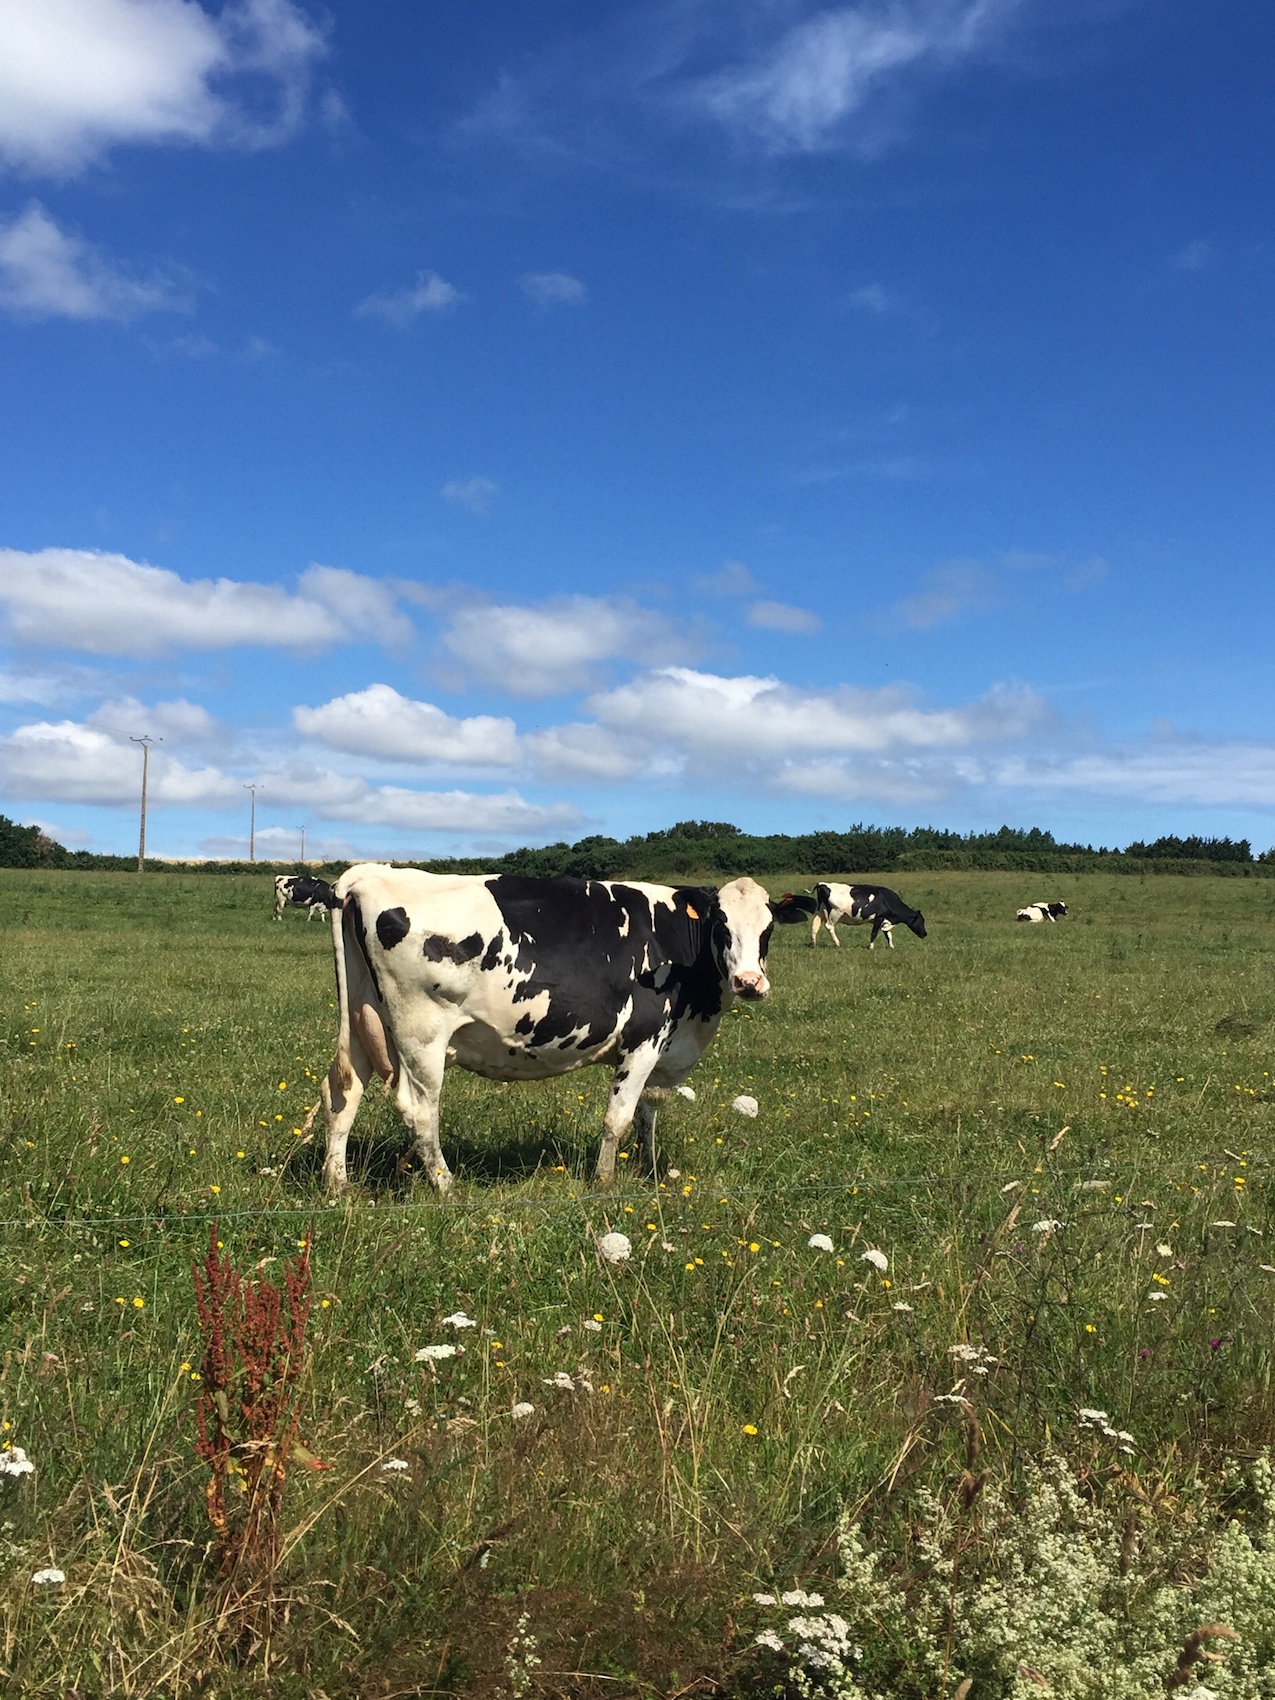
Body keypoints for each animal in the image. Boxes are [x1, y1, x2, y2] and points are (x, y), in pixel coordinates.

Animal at [319, 863, 809, 1196]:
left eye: (768, 929)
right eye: (721, 925)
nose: (749, 982)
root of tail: (368, 874)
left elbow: (647, 1113)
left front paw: (648, 1172)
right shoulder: (644, 1039)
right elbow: (619, 1117)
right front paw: (606, 1181)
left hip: (365, 1020)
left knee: (343, 1091)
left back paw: (337, 1184)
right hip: (420, 1034)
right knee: (419, 1110)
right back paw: (446, 1185)